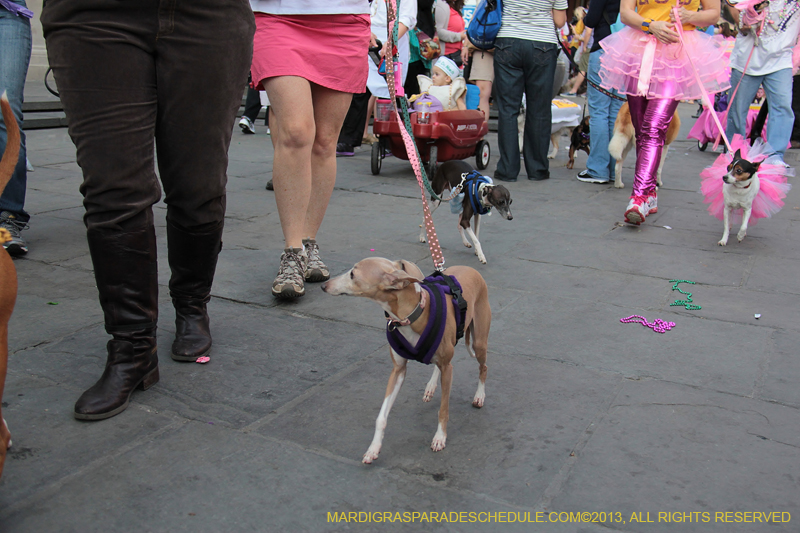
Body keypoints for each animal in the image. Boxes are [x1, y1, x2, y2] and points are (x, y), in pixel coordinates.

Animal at [322, 256, 490, 462]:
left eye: (353, 274)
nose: (324, 285)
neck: (411, 314)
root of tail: (471, 269)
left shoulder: (448, 369)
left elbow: (443, 410)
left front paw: (440, 437)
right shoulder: (398, 370)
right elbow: (381, 417)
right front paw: (374, 448)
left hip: (479, 342)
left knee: (483, 367)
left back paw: (479, 396)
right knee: (439, 366)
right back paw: (431, 386)